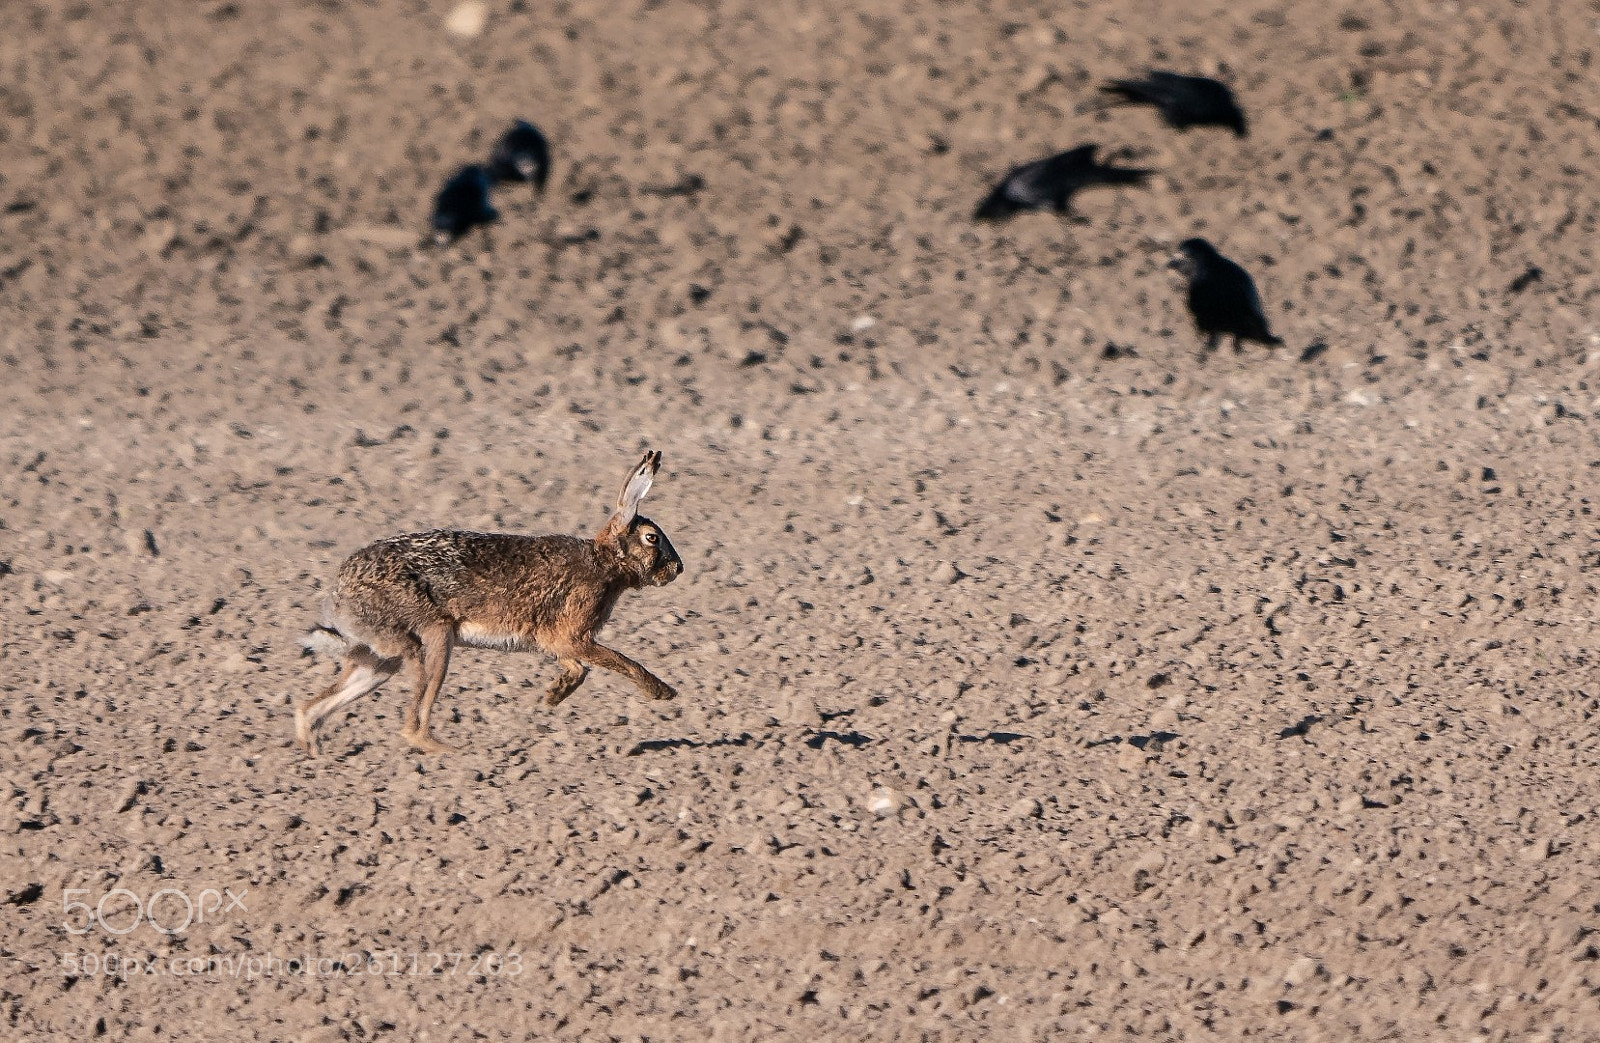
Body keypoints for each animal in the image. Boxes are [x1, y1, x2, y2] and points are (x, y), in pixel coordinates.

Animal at [296, 450, 683, 755]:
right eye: (652, 538)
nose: (678, 569)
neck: (605, 561)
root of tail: (338, 599)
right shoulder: (571, 635)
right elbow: (620, 661)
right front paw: (663, 692)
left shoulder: (559, 642)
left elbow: (579, 668)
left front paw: (552, 695)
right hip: (433, 638)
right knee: (414, 717)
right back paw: (448, 751)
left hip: (382, 658)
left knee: (315, 704)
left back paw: (312, 750)